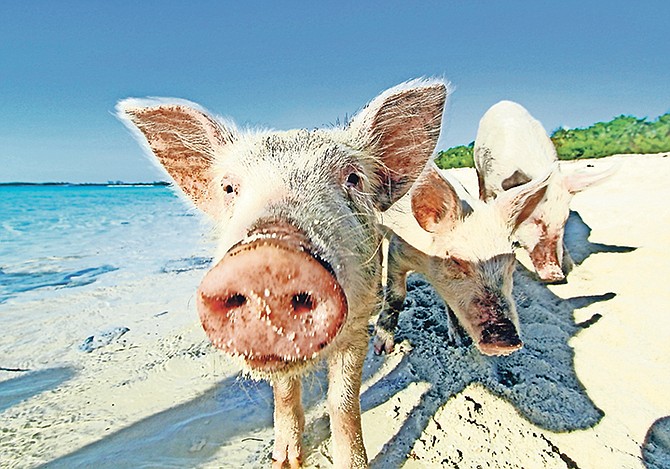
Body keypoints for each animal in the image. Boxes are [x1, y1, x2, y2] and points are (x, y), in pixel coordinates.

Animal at [117, 78, 448, 466]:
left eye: (353, 178)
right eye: (228, 187)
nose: (269, 262)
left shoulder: (357, 322)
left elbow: (343, 401)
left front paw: (354, 463)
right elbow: (285, 394)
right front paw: (285, 461)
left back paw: (386, 346)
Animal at [376, 161, 552, 354]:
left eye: (512, 259)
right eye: (455, 260)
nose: (506, 340)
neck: (426, 267)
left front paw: (458, 341)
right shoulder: (398, 249)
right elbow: (396, 296)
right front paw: (383, 349)